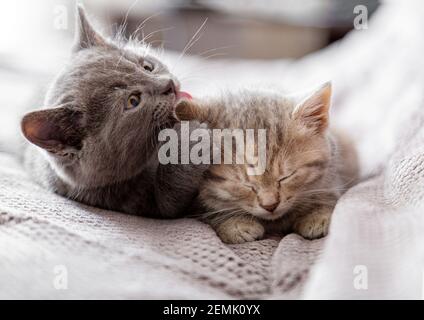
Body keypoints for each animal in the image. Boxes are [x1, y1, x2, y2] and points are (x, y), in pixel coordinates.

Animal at [20, 6, 208, 219]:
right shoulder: (136, 200)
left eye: (147, 66)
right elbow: (170, 197)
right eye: (133, 101)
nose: (169, 86)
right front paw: (188, 139)